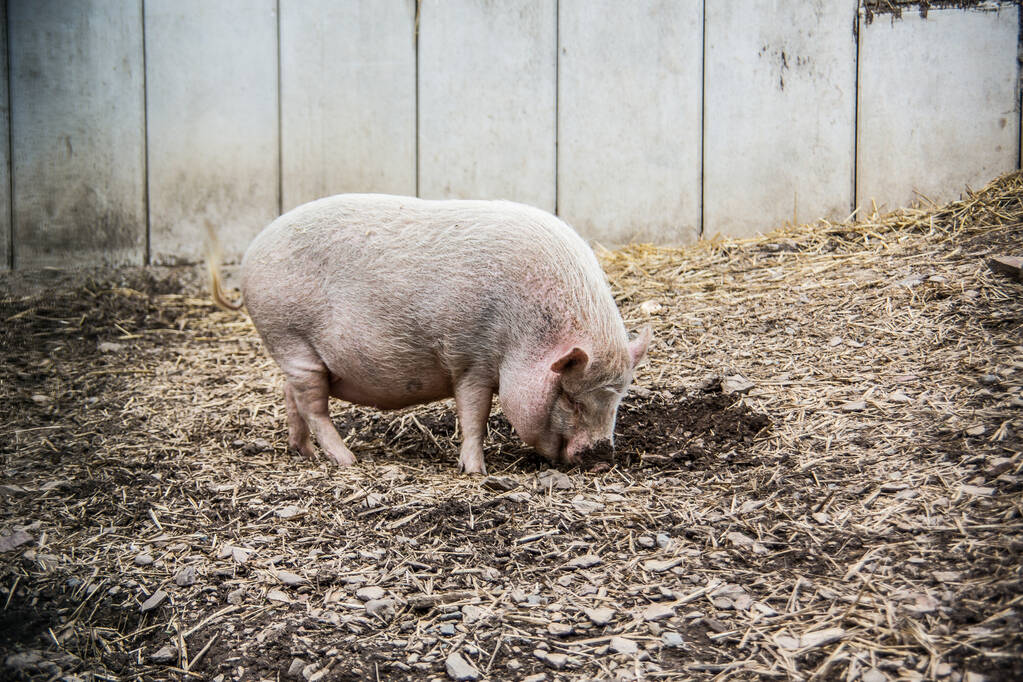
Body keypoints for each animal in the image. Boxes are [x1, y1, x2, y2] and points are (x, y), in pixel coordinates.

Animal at [209, 194, 646, 478]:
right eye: (570, 399)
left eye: (618, 398)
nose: (602, 455)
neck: (526, 336)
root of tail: (252, 252)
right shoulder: (470, 358)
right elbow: (474, 415)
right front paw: (476, 472)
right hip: (288, 334)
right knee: (313, 407)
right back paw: (347, 460)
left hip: (295, 352)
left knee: (291, 395)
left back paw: (302, 452)